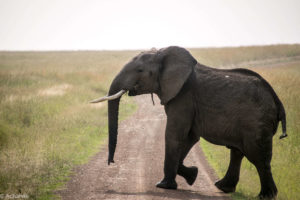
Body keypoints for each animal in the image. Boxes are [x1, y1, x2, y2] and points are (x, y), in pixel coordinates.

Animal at [91, 46, 286, 198]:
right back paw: (223, 187)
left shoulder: (183, 96)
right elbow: (190, 137)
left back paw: (265, 196)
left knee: (258, 157)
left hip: (256, 121)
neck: (163, 55)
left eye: (139, 70)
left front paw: (163, 185)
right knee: (237, 152)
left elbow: (174, 134)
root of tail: (276, 100)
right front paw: (192, 175)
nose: (111, 162)